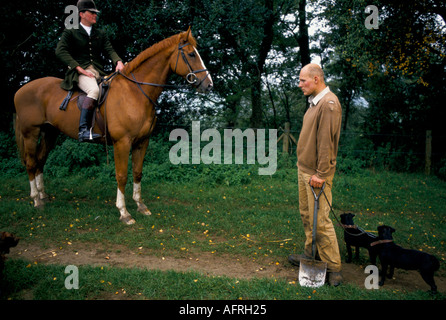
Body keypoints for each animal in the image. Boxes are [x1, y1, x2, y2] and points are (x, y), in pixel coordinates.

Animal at [14, 29, 213, 225]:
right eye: (191, 54)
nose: (209, 84)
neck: (135, 92)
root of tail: (20, 90)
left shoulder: (142, 141)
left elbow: (137, 172)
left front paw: (141, 206)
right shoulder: (122, 143)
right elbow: (122, 175)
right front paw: (124, 212)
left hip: (49, 133)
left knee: (40, 161)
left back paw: (43, 196)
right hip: (31, 133)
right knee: (31, 163)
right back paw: (36, 199)